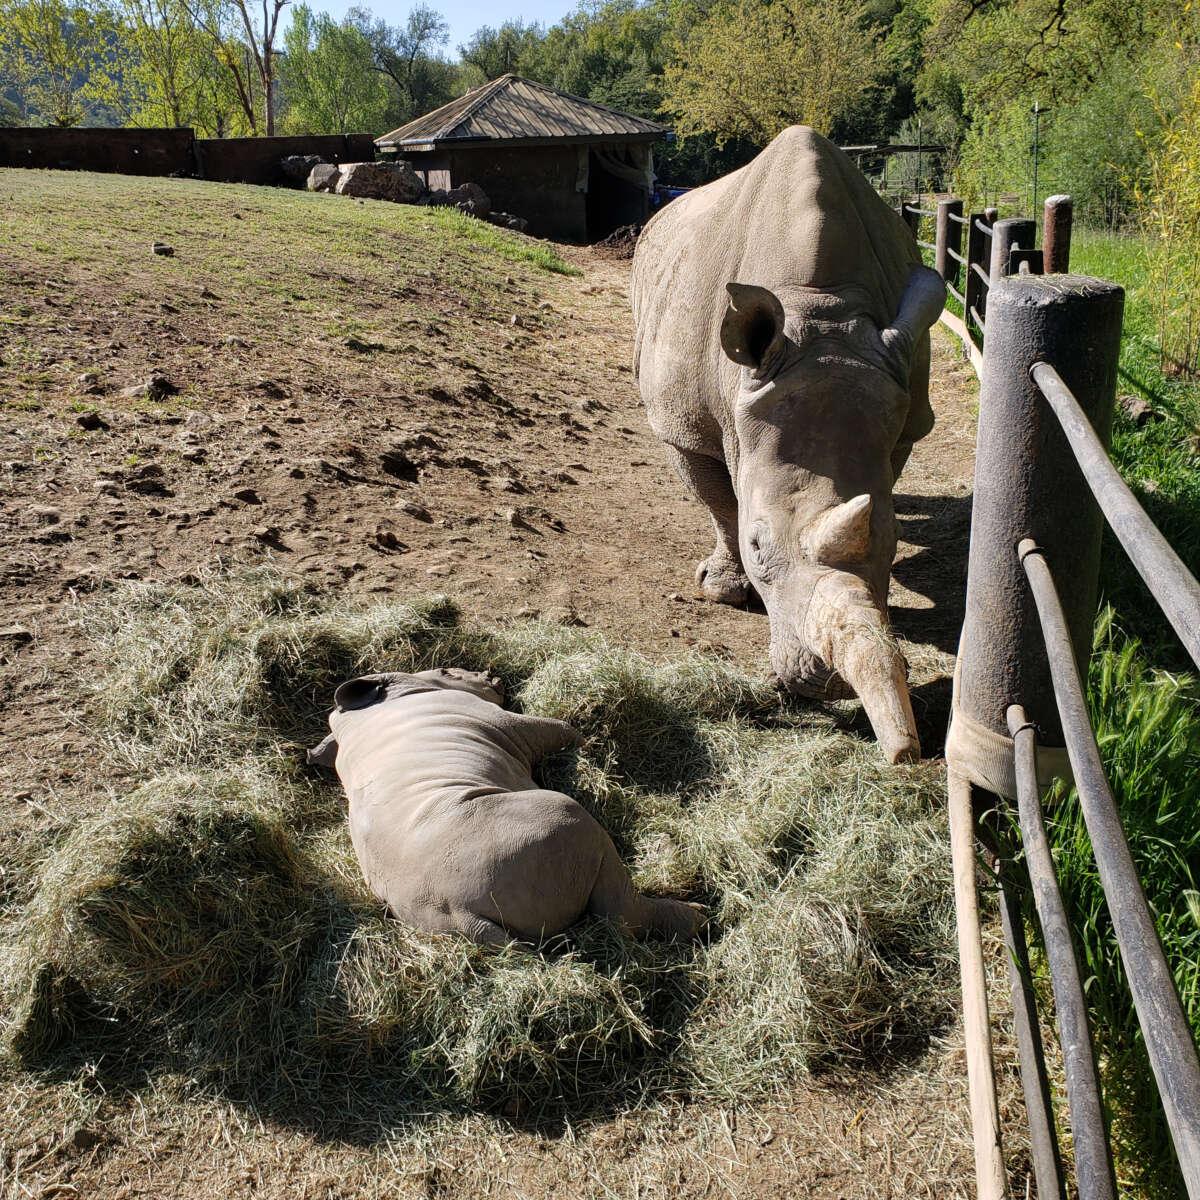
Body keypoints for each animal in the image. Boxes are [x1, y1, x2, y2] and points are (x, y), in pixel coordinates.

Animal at [309, 667, 705, 944]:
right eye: (446, 672)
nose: (491, 676)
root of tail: (459, 912)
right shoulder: (504, 722)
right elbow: (563, 729)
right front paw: (592, 748)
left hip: (430, 907)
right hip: (543, 830)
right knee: (617, 903)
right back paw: (699, 914)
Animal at [631, 126, 945, 764]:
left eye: (894, 544)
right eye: (758, 547)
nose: (823, 685)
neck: (819, 311)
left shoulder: (905, 411)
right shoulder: (682, 422)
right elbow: (720, 503)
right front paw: (724, 593)